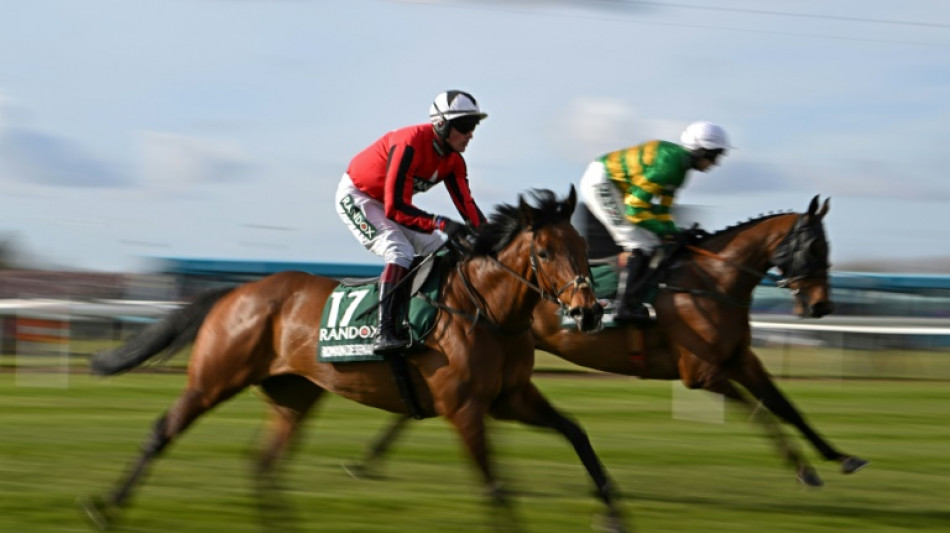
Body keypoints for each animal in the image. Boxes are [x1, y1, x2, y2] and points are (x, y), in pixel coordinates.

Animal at [80, 187, 624, 528]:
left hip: (293, 394)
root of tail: (236, 291)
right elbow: (496, 487)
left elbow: (576, 433)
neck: (484, 309)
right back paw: (105, 508)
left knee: (264, 463)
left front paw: (613, 512)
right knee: (163, 431)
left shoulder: (510, 398)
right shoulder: (464, 408)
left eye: (581, 244)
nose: (588, 312)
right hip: (214, 378)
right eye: (546, 253)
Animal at [344, 195, 872, 486]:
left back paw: (368, 461)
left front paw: (840, 456)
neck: (712, 280)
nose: (822, 306)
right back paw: (368, 460)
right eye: (814, 245)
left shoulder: (740, 358)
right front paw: (805, 469)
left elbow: (785, 405)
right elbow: (762, 411)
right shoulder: (703, 373)